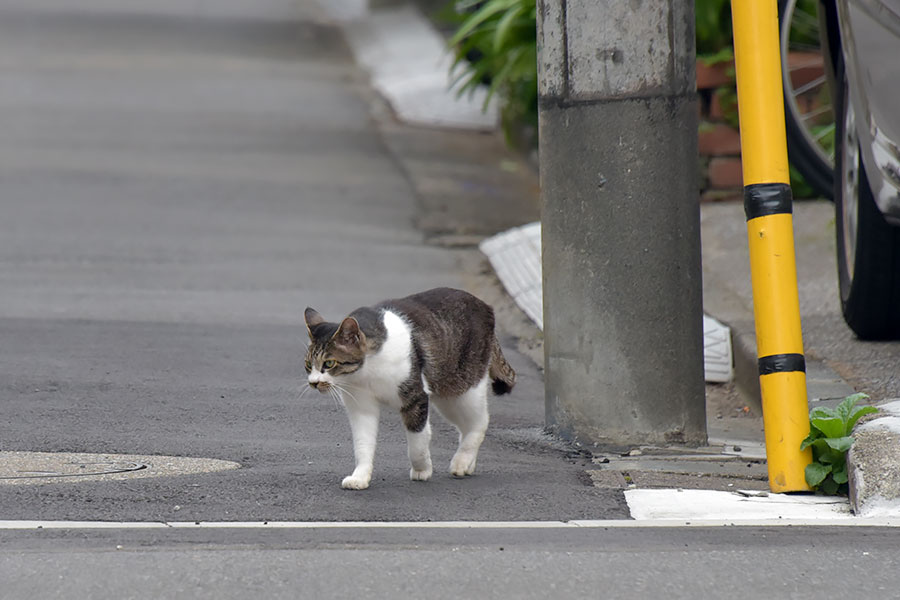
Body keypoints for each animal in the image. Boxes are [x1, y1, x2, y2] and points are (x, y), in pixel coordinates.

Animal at [304, 288, 516, 490]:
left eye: (329, 363)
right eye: (308, 365)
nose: (313, 382)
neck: (366, 371)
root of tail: (486, 306)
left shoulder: (416, 397)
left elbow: (417, 442)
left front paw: (422, 469)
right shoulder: (361, 407)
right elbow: (363, 444)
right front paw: (360, 477)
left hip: (464, 388)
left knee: (480, 421)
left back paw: (462, 461)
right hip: (447, 397)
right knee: (465, 425)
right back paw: (468, 463)